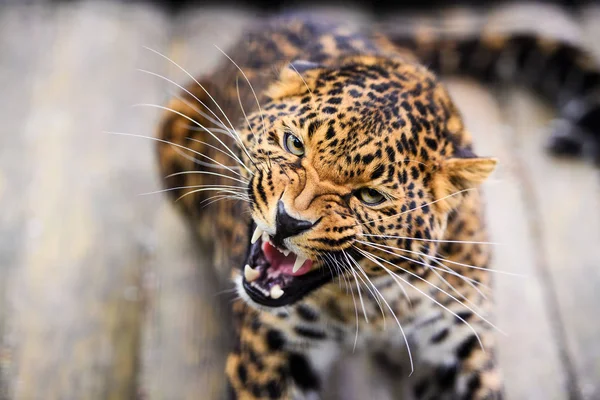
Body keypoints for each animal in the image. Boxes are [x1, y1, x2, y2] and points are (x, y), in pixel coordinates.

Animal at [154, 7, 600, 400]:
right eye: (294, 144)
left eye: (370, 196)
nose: (287, 221)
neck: (365, 306)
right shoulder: (270, 352)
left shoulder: (459, 349)